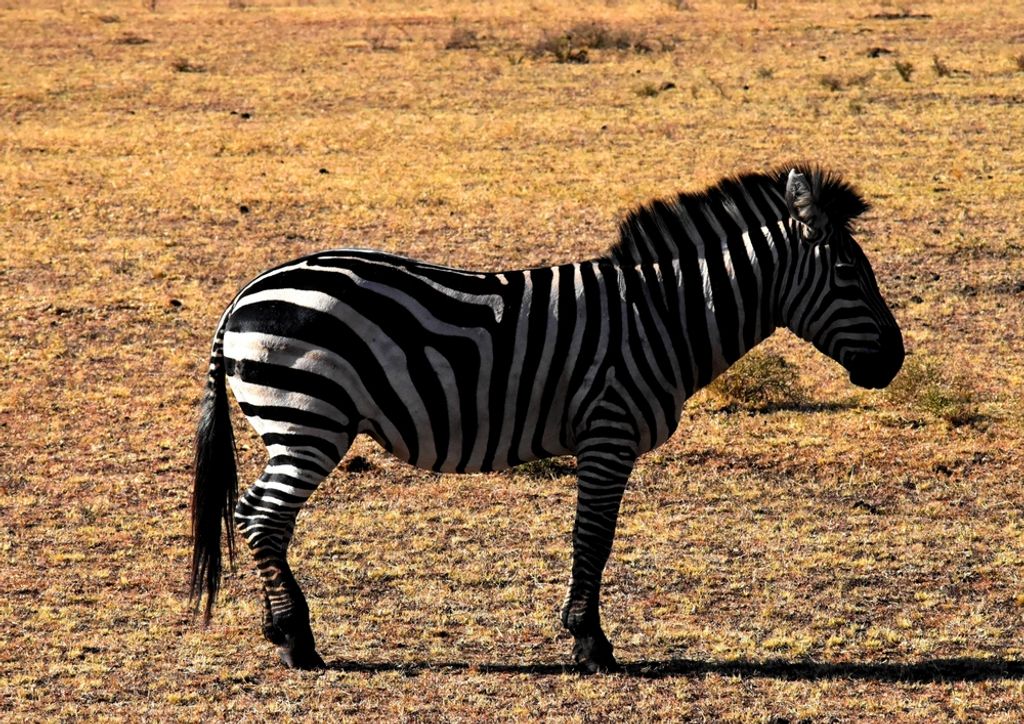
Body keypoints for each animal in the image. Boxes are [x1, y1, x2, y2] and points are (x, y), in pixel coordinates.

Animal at [190, 166, 904, 673]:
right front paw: (591, 644)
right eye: (849, 273)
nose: (895, 361)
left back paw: (283, 632)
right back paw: (297, 642)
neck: (664, 315)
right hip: (306, 419)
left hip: (300, 422)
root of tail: (243, 296)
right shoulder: (609, 433)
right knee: (261, 517)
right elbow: (594, 538)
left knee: (258, 518)